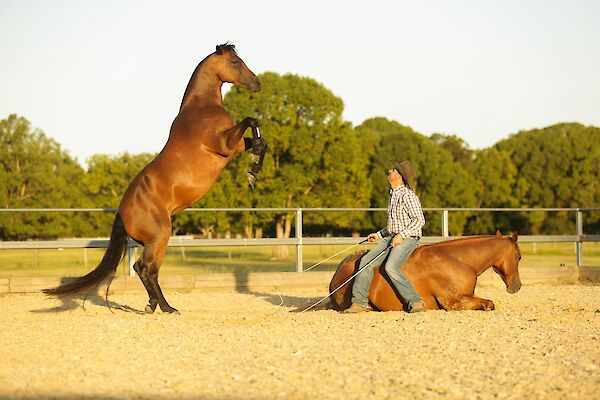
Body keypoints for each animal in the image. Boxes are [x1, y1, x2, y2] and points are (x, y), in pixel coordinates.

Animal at [44, 43, 264, 312]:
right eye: (235, 61)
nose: (257, 83)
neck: (201, 109)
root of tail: (122, 211)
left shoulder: (235, 145)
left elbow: (259, 140)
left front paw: (253, 170)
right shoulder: (225, 144)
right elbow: (252, 120)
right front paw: (253, 170)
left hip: (155, 240)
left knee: (145, 269)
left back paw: (154, 305)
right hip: (160, 237)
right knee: (146, 268)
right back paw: (166, 307)